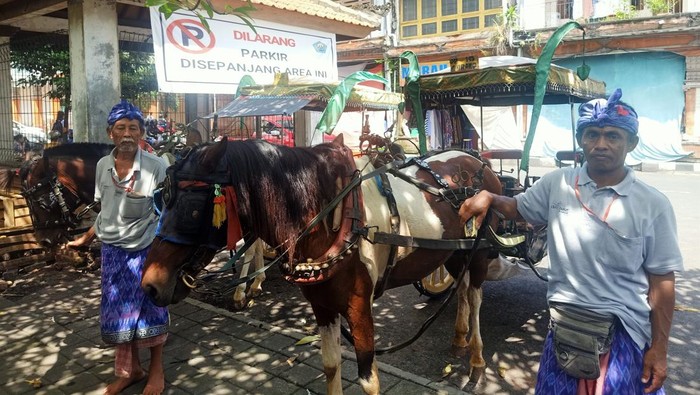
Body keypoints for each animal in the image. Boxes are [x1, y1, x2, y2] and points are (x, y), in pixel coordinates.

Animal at [141, 135, 504, 394]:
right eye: (161, 199)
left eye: (192, 208)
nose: (150, 285)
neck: (329, 215)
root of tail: (477, 159)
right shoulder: (322, 304)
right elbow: (330, 365)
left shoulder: (359, 306)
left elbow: (369, 379)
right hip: (454, 253)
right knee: (462, 291)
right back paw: (459, 340)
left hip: (480, 252)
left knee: (475, 296)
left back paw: (476, 359)